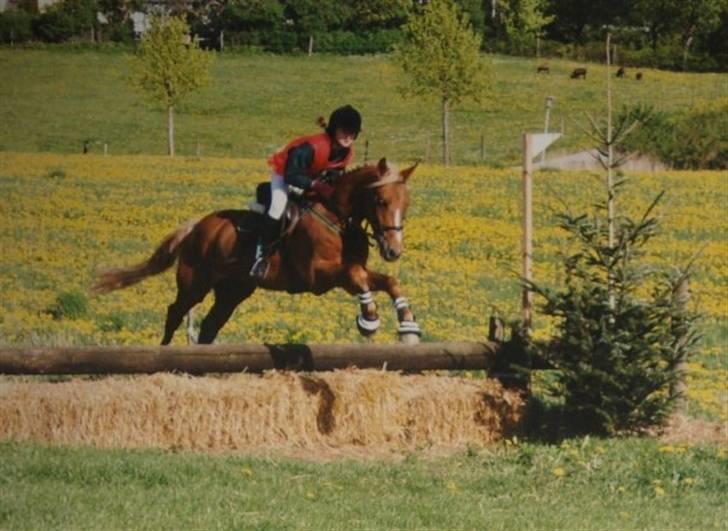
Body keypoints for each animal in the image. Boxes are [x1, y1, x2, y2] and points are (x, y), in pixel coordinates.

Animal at [94, 158, 422, 345]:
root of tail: (197, 226)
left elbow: (388, 282)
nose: (394, 250)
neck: (338, 218)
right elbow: (357, 278)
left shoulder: (351, 272)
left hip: (233, 290)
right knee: (175, 312)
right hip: (194, 283)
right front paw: (369, 320)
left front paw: (408, 325)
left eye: (406, 203)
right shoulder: (320, 275)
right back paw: (165, 353)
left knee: (210, 325)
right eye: (380, 200)